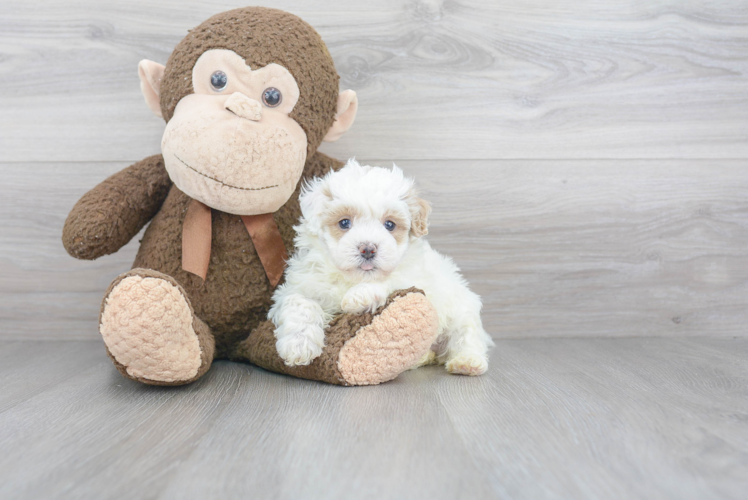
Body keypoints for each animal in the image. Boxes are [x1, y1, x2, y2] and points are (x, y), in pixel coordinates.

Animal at [266, 160, 494, 376]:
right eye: (344, 222)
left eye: (390, 225)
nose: (368, 249)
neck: (352, 278)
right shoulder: (298, 285)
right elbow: (299, 302)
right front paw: (298, 345)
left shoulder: (417, 278)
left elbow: (391, 280)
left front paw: (359, 296)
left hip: (461, 307)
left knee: (467, 335)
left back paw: (467, 362)